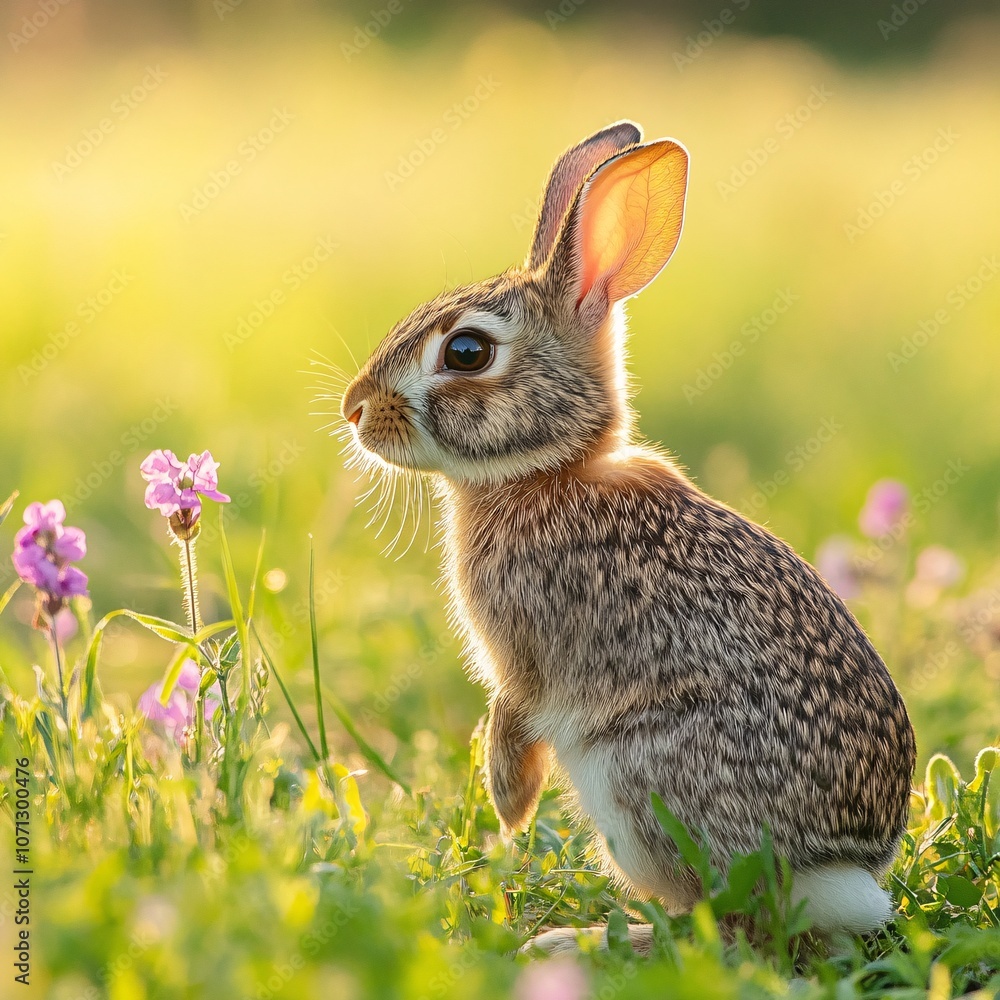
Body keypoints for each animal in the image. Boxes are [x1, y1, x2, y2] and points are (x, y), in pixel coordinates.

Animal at [340, 120, 916, 953]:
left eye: (466, 352)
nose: (354, 408)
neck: (544, 472)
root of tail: (839, 876)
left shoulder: (524, 658)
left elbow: (513, 712)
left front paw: (507, 802)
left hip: (636, 778)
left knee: (729, 928)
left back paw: (576, 942)